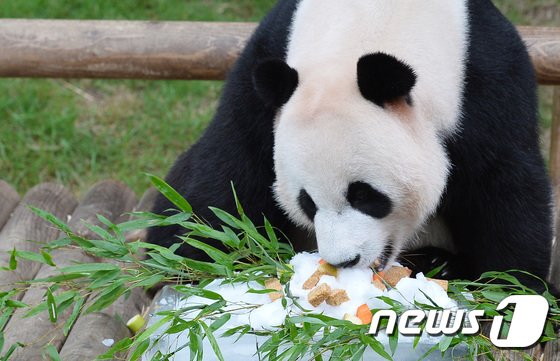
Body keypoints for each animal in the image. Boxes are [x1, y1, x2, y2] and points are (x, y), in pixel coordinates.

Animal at [147, 0, 552, 292]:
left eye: (365, 195)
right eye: (307, 203)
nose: (344, 261)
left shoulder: (484, 78)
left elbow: (503, 184)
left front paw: (510, 284)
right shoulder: (265, 67)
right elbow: (227, 171)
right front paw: (199, 255)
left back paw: (438, 262)